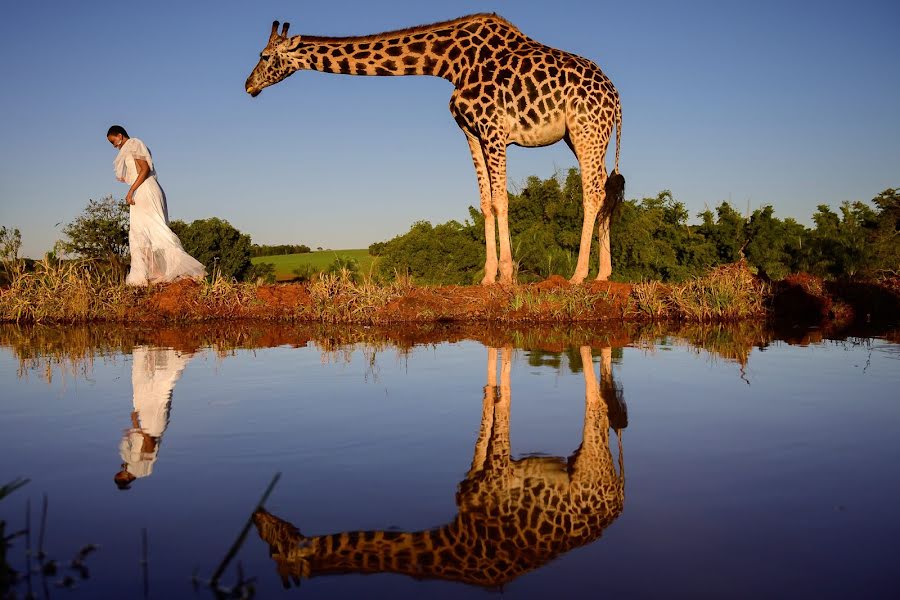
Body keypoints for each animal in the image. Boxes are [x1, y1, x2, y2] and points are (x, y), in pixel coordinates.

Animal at [246, 12, 624, 284]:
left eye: (264, 56)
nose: (248, 85)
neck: (449, 63)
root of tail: (616, 98)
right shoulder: (472, 132)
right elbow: (486, 203)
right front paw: (487, 277)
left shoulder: (494, 128)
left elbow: (501, 200)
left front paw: (506, 276)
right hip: (584, 137)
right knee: (606, 191)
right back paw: (604, 274)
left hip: (586, 131)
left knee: (592, 193)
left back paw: (578, 276)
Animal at [250, 344, 624, 588]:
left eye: (273, 548)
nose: (256, 515)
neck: (456, 543)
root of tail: (618, 499)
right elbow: (488, 404)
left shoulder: (500, 473)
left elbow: (502, 401)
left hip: (590, 461)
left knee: (597, 405)